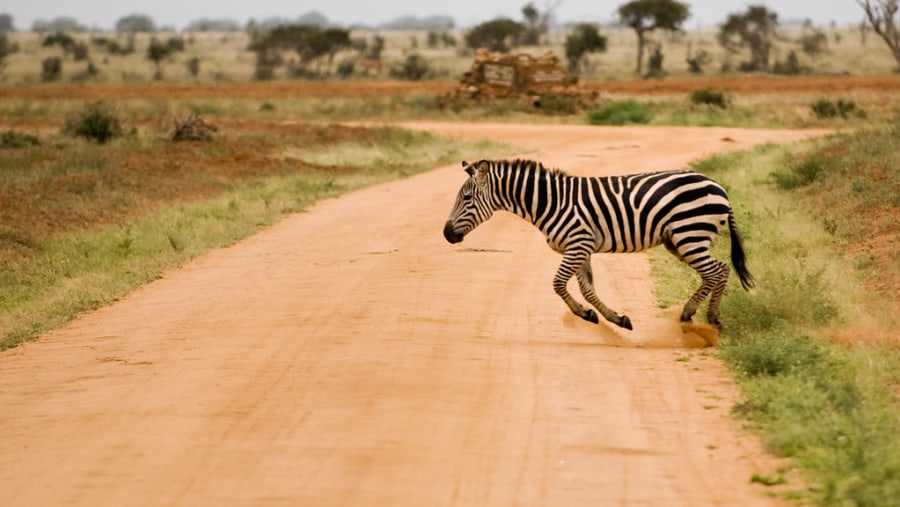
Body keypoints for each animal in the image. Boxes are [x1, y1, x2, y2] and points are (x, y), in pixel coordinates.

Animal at [442, 160, 752, 334]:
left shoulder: (577, 245)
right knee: (718, 271)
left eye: (467, 198)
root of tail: (718, 186)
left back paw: (701, 316)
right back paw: (702, 314)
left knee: (717, 271)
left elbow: (557, 284)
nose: (446, 234)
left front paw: (584, 314)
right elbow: (588, 290)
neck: (549, 203)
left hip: (689, 234)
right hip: (679, 240)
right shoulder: (581, 248)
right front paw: (613, 318)